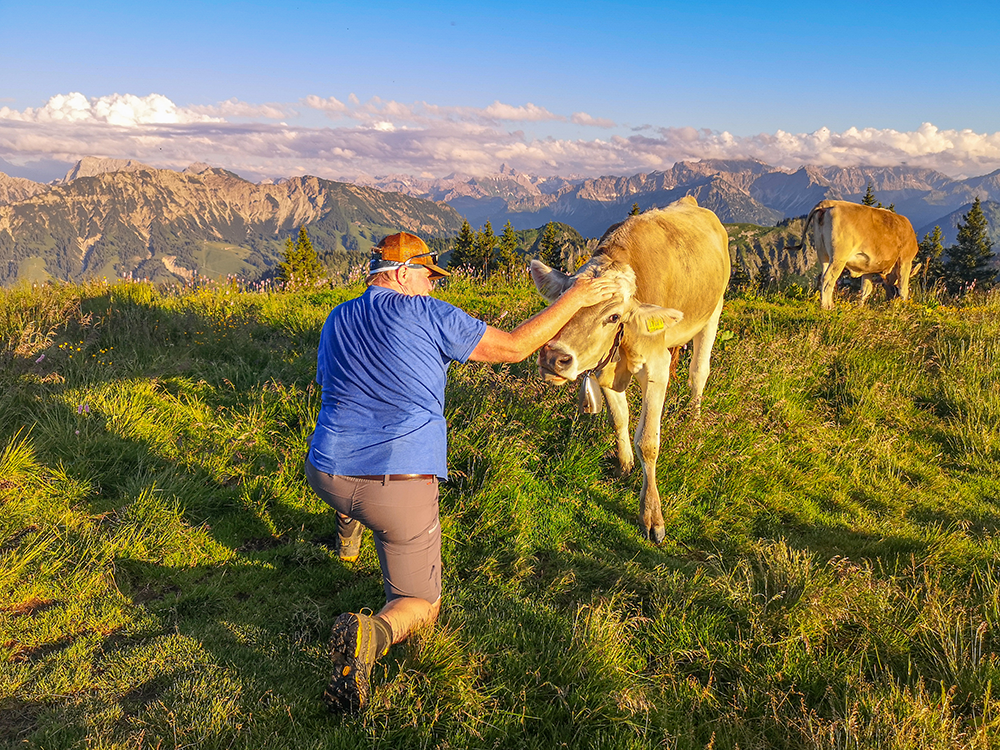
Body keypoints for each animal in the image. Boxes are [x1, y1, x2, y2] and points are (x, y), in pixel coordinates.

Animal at [528, 197, 732, 544]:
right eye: (562, 303)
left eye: (613, 317)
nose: (554, 358)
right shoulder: (604, 367)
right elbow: (618, 418)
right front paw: (624, 465)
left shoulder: (656, 367)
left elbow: (648, 441)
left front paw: (651, 515)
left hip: (713, 311)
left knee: (698, 372)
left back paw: (694, 418)